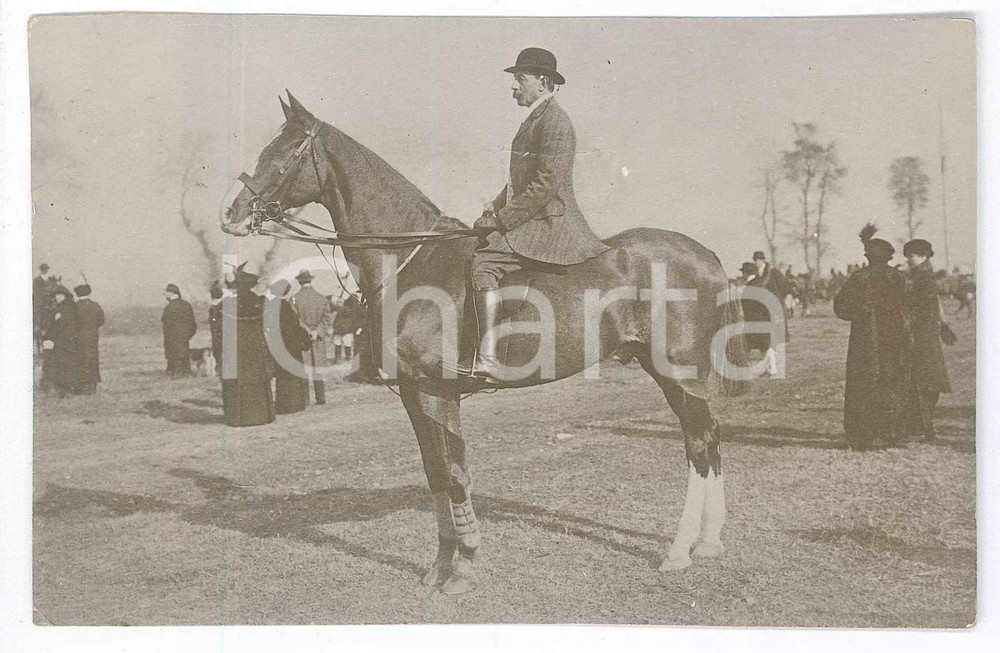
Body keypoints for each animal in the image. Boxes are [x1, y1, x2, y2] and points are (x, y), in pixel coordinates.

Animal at [221, 92, 751, 595]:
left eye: (284, 150)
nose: (231, 213)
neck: (408, 260)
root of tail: (705, 254)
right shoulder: (413, 394)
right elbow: (434, 472)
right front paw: (439, 566)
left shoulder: (438, 391)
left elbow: (455, 472)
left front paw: (464, 568)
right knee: (708, 439)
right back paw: (708, 543)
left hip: (677, 371)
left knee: (698, 444)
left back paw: (680, 551)